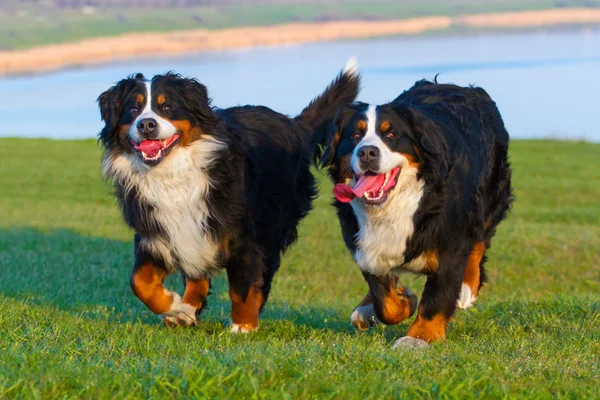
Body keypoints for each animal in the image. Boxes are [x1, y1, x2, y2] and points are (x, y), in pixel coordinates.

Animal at [98, 57, 358, 330]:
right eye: (133, 109)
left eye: (167, 107)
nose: (147, 125)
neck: (172, 173)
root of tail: (292, 123)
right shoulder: (157, 233)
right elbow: (140, 282)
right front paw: (175, 307)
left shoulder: (241, 234)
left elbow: (242, 286)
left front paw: (243, 326)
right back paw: (187, 308)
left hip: (273, 224)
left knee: (264, 275)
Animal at [322, 79, 512, 346]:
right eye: (355, 135)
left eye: (390, 135)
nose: (367, 152)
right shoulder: (364, 243)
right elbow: (384, 300)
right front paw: (403, 299)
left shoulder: (451, 243)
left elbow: (437, 296)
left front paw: (419, 338)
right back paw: (365, 309)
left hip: (489, 198)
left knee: (479, 241)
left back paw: (467, 286)